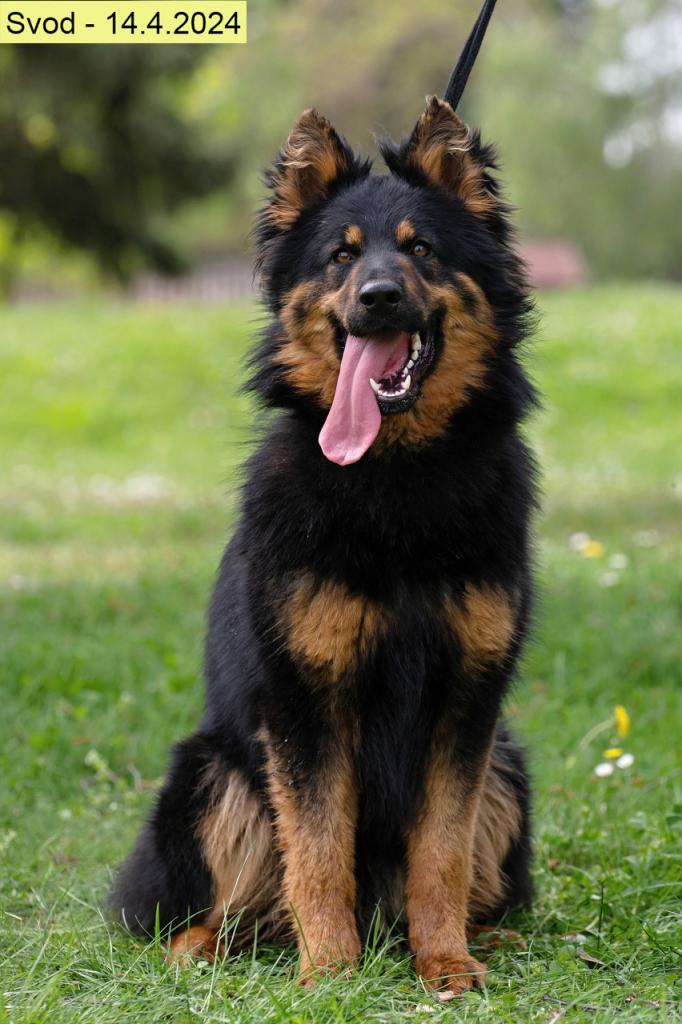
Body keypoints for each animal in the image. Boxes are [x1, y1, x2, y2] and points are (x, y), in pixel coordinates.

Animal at [111, 93, 537, 997]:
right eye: (341, 258)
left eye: (421, 249)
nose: (376, 296)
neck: (395, 478)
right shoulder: (305, 707)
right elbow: (315, 851)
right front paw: (333, 973)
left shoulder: (466, 706)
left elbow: (441, 852)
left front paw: (445, 961)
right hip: (212, 775)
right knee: (226, 908)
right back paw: (203, 948)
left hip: (508, 766)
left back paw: (487, 935)